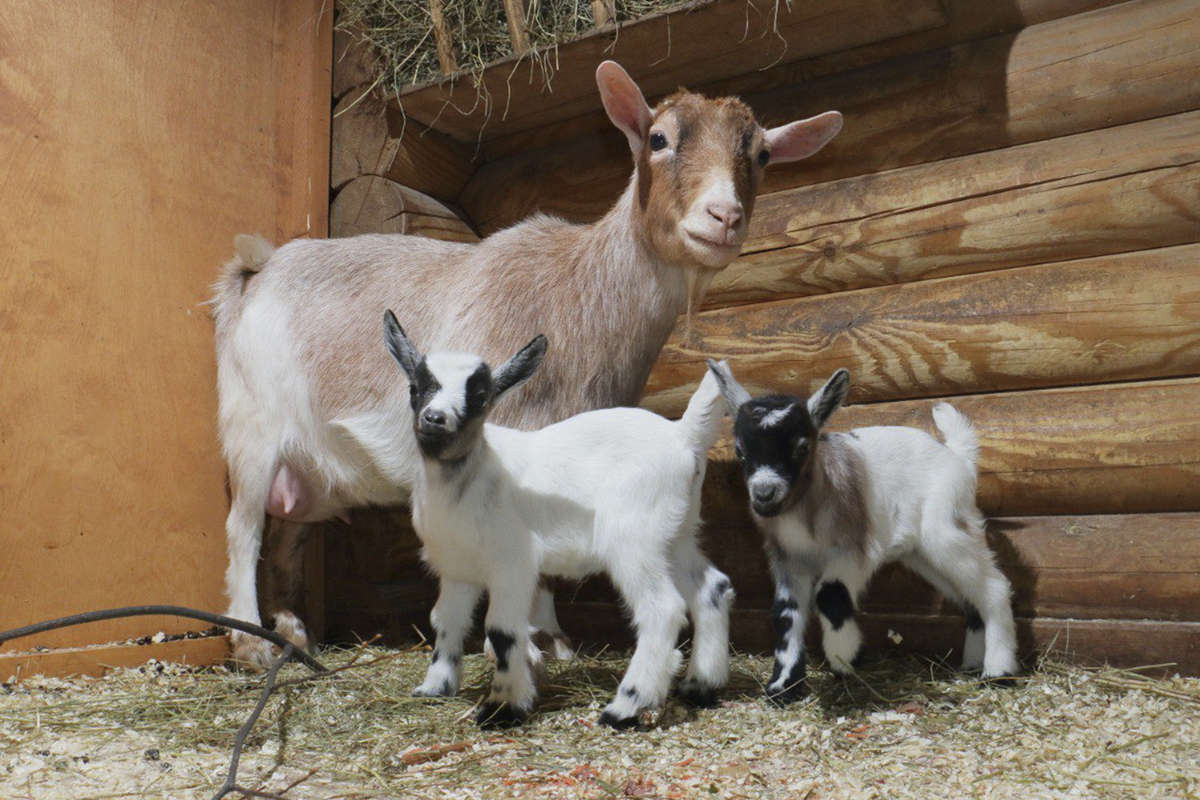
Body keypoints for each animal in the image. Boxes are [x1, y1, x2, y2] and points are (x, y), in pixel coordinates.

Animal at [211, 59, 840, 666]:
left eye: (761, 154)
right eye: (659, 138)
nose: (724, 217)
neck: (580, 292)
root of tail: (256, 273)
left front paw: (554, 638)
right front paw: (519, 642)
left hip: (311, 467)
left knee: (287, 534)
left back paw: (293, 633)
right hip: (252, 425)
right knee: (243, 526)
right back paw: (249, 643)